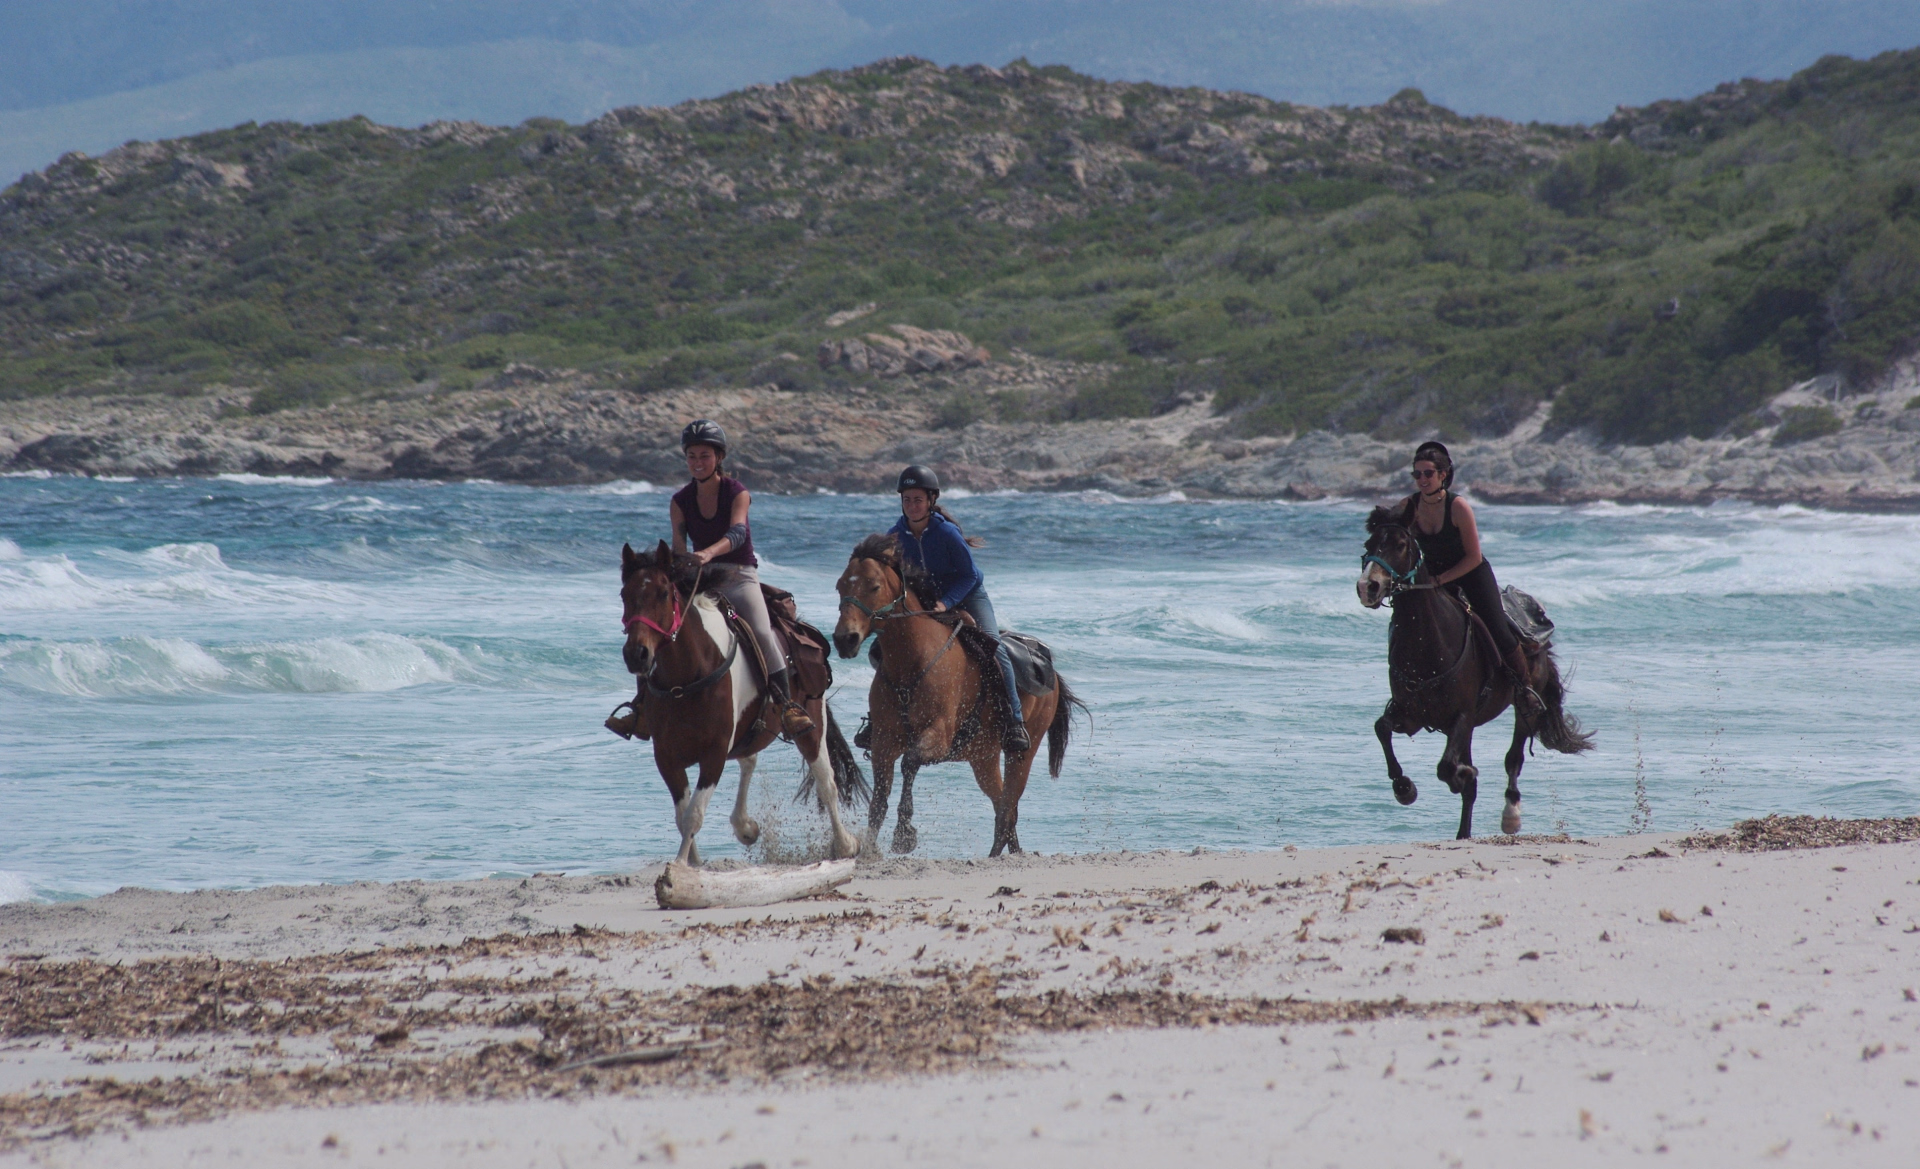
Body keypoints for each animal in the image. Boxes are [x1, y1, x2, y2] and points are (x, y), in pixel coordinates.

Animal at [620, 540, 862, 865]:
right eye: (624, 594)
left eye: (663, 593)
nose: (637, 654)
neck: (685, 679)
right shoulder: (666, 757)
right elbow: (682, 816)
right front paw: (693, 862)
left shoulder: (714, 754)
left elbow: (694, 815)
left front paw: (681, 866)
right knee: (750, 760)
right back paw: (745, 826)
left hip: (812, 725)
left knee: (826, 782)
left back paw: (846, 845)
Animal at [832, 534, 1083, 857]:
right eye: (840, 586)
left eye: (874, 586)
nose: (844, 639)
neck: (912, 662)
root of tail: (1050, 669)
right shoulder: (883, 742)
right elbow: (879, 799)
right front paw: (868, 851)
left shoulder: (938, 736)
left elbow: (909, 763)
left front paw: (904, 834)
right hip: (983, 758)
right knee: (1003, 805)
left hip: (1022, 752)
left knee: (1008, 807)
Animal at [1355, 508, 1594, 839]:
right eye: (1369, 543)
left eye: (1401, 544)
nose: (1368, 587)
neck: (1426, 642)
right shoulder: (1411, 715)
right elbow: (1382, 728)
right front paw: (1404, 788)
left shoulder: (1462, 716)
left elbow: (1447, 767)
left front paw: (1461, 776)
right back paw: (1463, 832)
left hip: (1524, 708)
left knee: (1514, 757)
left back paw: (1510, 815)